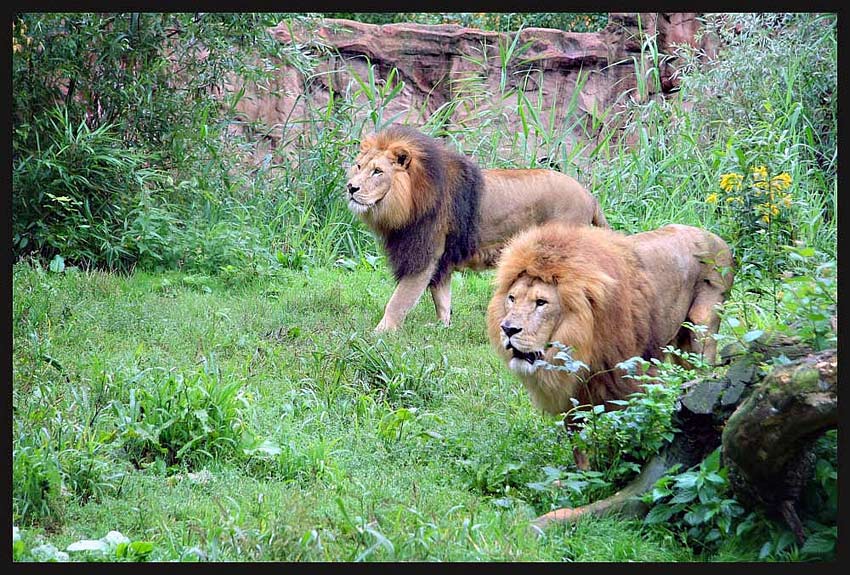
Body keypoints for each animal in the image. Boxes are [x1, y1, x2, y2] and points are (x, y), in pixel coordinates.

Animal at [342, 126, 608, 332]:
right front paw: (442, 327)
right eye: (358, 166)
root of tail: (590, 196)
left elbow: (399, 300)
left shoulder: (424, 254)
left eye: (378, 172)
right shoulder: (442, 259)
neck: (408, 201)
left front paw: (379, 333)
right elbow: (442, 298)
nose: (351, 187)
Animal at [486, 220, 732, 468]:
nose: (507, 329)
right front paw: (584, 473)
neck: (583, 339)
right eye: (512, 298)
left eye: (541, 303)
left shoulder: (627, 381)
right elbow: (579, 446)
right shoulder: (572, 393)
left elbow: (623, 430)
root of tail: (716, 238)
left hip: (702, 331)